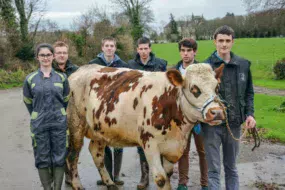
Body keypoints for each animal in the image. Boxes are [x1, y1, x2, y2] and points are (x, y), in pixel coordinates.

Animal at [66, 63, 224, 189]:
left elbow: (168, 175)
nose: (216, 112)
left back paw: (109, 183)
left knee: (96, 153)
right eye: (194, 89)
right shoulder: (150, 143)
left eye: (217, 87)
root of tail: (81, 69)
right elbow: (161, 179)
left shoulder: (172, 147)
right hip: (76, 125)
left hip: (99, 129)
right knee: (72, 156)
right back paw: (77, 184)